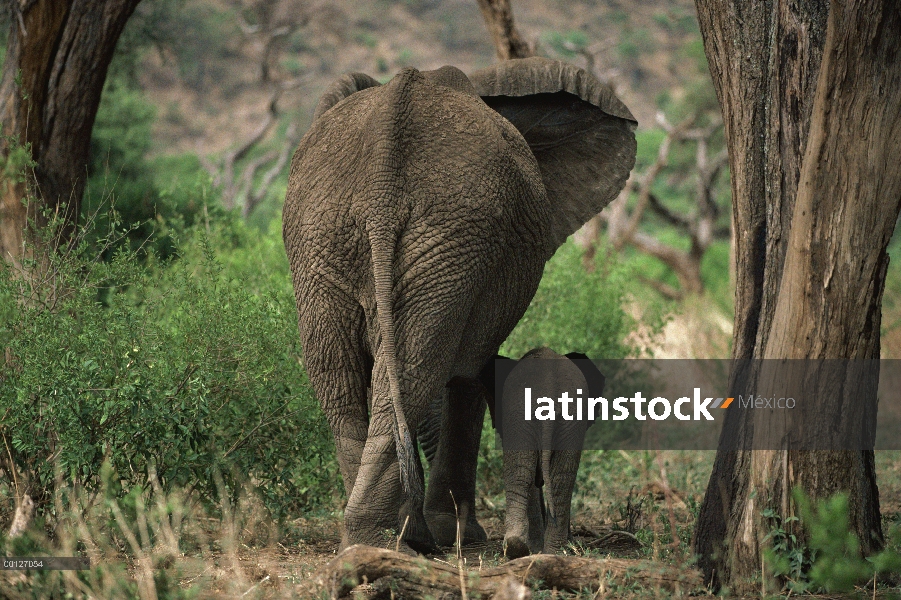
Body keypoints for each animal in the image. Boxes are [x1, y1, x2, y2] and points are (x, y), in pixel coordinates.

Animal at [478, 350, 604, 560]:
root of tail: (549, 384)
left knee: (524, 473)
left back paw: (527, 549)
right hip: (564, 418)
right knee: (560, 477)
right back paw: (549, 551)